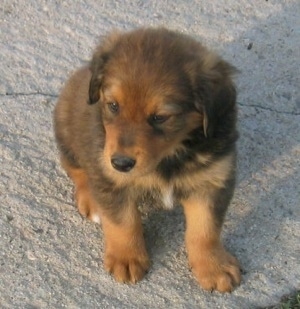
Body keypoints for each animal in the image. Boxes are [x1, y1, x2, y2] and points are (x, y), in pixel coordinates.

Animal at [54, 26, 241, 292]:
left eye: (160, 117)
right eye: (113, 105)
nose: (121, 164)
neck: (169, 155)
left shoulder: (212, 180)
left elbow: (205, 230)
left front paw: (214, 267)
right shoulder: (111, 178)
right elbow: (123, 222)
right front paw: (127, 258)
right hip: (68, 135)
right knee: (75, 168)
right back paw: (91, 199)